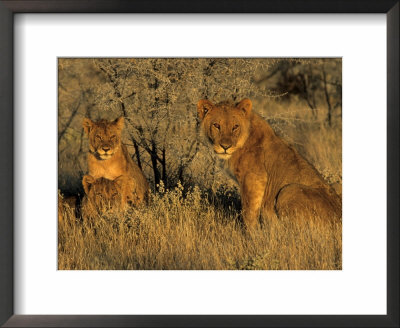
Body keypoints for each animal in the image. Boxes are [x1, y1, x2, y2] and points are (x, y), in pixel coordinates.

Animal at [197, 98, 340, 229]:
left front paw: (251, 235)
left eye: (235, 126)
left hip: (288, 190)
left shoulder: (254, 178)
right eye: (216, 125)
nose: (225, 147)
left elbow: (248, 212)